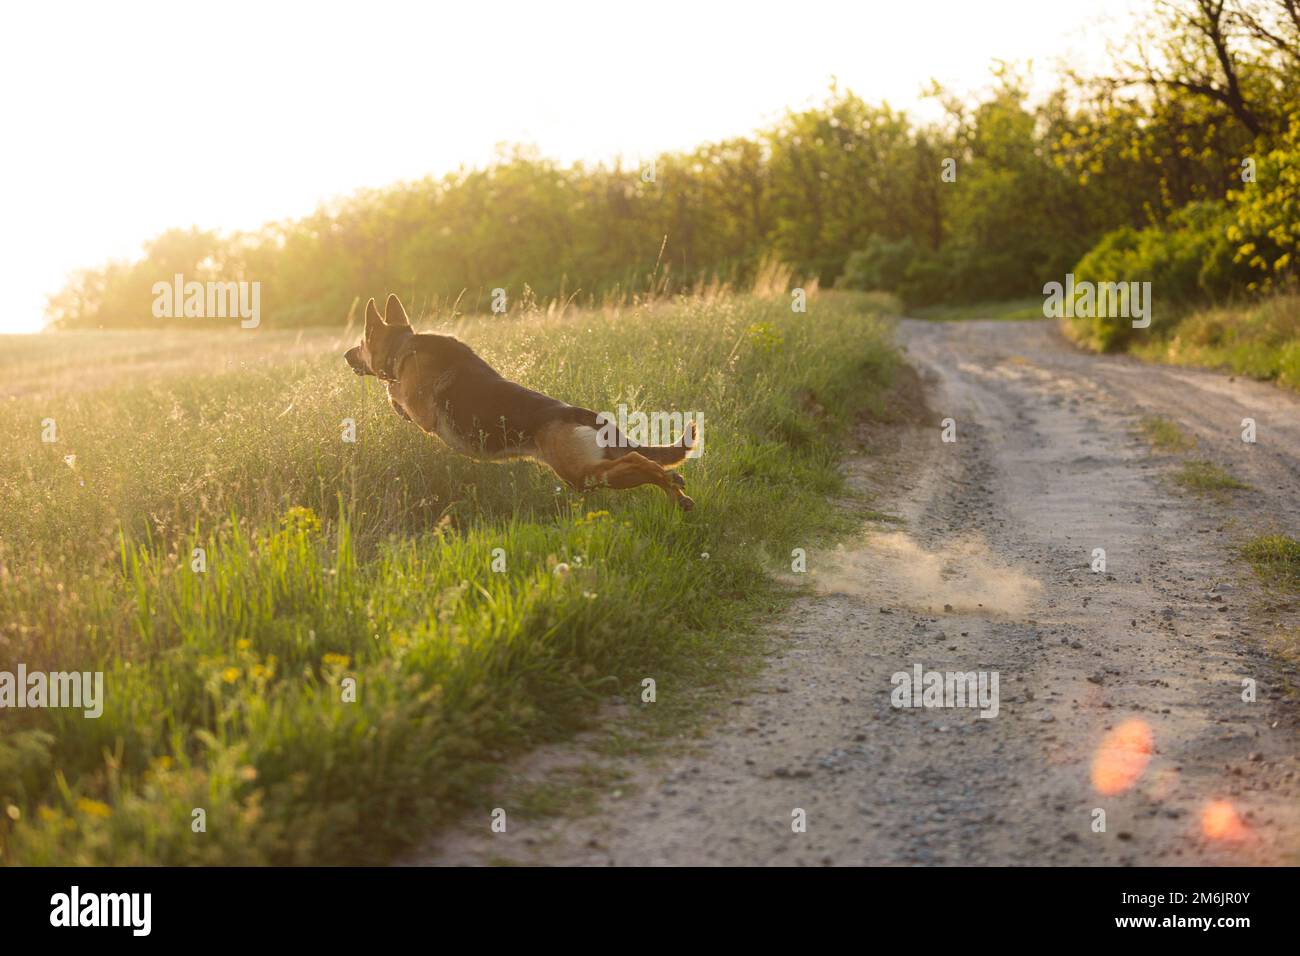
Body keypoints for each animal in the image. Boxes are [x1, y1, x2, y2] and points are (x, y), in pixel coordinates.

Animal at [340, 295, 696, 509]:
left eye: (360, 343)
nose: (344, 355)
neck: (403, 346)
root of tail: (585, 414)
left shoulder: (420, 410)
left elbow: (394, 394)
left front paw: (392, 396)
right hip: (593, 468)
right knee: (644, 461)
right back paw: (678, 493)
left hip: (581, 474)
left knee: (641, 462)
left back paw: (669, 482)